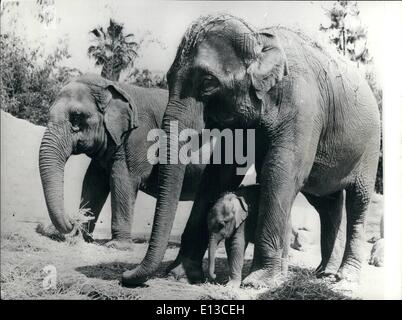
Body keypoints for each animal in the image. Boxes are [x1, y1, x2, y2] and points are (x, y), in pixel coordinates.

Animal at [38, 74, 206, 249]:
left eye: (76, 117)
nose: (73, 219)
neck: (114, 86)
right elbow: (93, 182)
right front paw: (81, 237)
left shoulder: (138, 136)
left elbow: (123, 179)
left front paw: (116, 245)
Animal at [122, 13, 380, 286]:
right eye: (169, 79)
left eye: (207, 82)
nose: (125, 276)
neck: (258, 36)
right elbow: (218, 173)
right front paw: (181, 274)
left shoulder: (303, 107)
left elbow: (280, 172)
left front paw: (258, 281)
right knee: (327, 202)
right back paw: (324, 273)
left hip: (371, 146)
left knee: (358, 200)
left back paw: (345, 276)